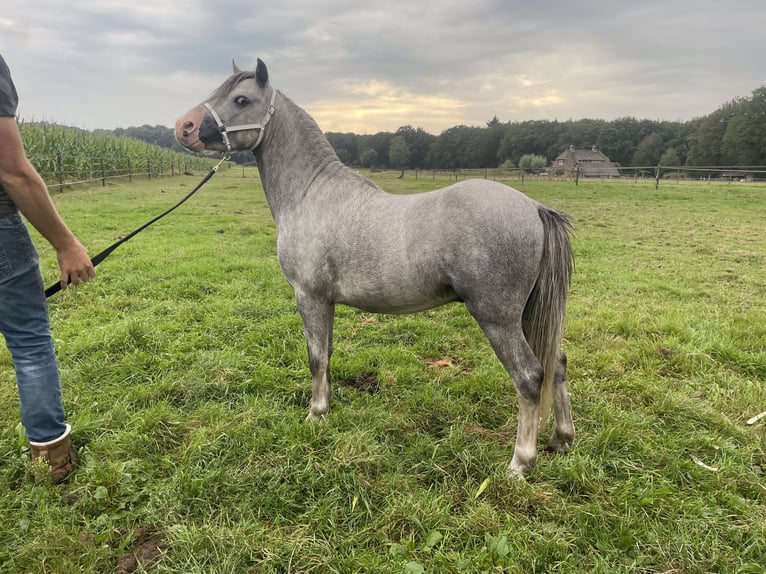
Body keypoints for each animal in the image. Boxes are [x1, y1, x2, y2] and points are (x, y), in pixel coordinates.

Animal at [176, 60, 576, 480]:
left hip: (498, 318)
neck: (310, 194)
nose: (183, 127)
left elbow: (315, 357)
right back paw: (561, 440)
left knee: (530, 377)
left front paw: (315, 415)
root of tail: (534, 208)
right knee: (557, 364)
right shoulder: (326, 301)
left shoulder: (308, 296)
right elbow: (326, 353)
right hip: (527, 314)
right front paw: (327, 407)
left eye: (241, 99)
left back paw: (520, 462)